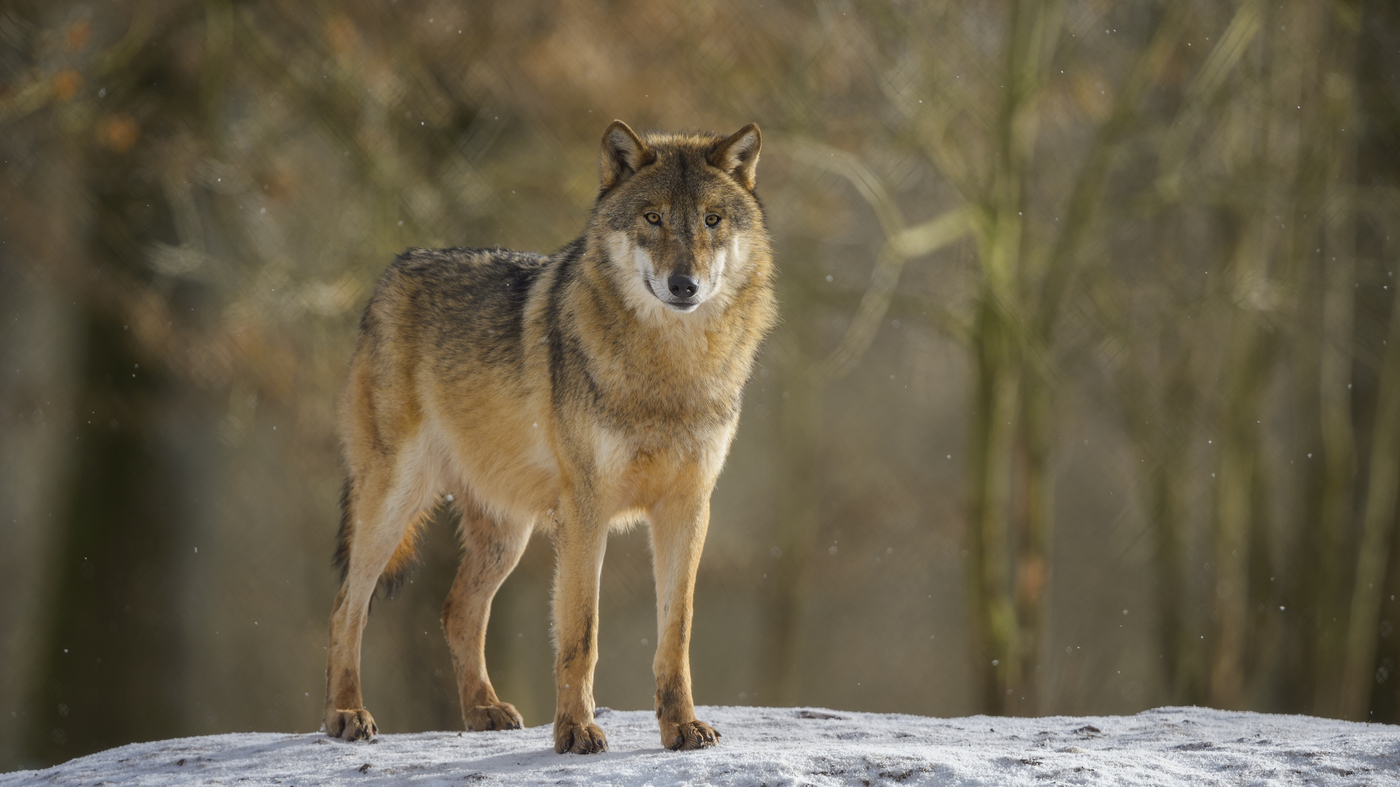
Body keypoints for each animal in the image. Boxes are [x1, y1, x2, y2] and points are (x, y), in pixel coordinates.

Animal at [323, 120, 776, 754]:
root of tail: (396, 268)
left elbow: (676, 633)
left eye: (711, 219)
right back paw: (346, 714)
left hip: (506, 533)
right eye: (653, 217)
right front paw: (576, 730)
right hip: (394, 502)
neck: (667, 372)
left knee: (457, 611)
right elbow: (580, 633)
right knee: (348, 606)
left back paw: (483, 710)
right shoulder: (585, 510)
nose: (683, 284)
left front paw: (682, 726)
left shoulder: (688, 507)